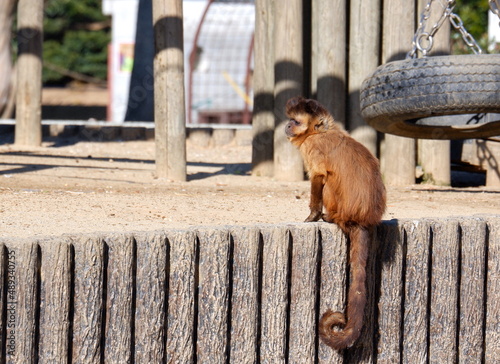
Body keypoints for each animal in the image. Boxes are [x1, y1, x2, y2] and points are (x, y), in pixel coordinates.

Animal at [286, 96, 386, 350]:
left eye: (296, 121)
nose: (288, 126)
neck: (321, 131)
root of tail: (361, 219)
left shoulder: (313, 146)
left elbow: (319, 176)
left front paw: (312, 215)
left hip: (338, 206)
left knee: (328, 180)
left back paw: (328, 217)